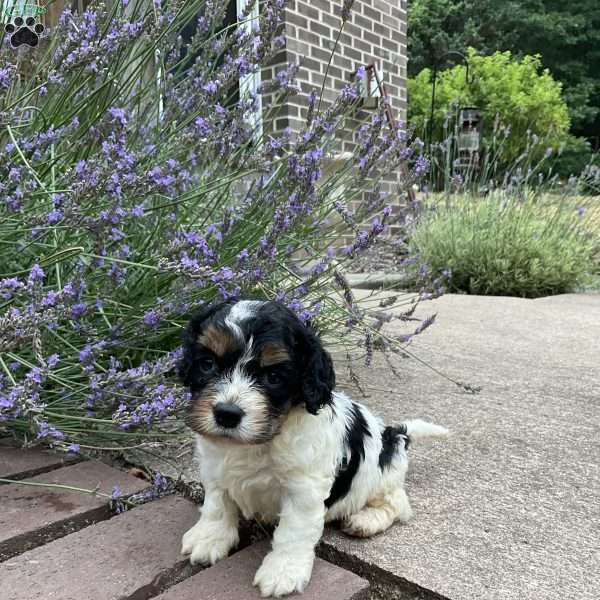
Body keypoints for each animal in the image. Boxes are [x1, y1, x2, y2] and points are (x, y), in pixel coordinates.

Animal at [178, 298, 446, 596]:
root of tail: (394, 434)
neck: (264, 439)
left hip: (383, 476)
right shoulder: (214, 467)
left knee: (397, 504)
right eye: (207, 364)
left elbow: (294, 531)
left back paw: (365, 521)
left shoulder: (303, 489)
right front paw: (209, 538)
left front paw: (283, 571)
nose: (226, 414)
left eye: (274, 376)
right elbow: (217, 503)